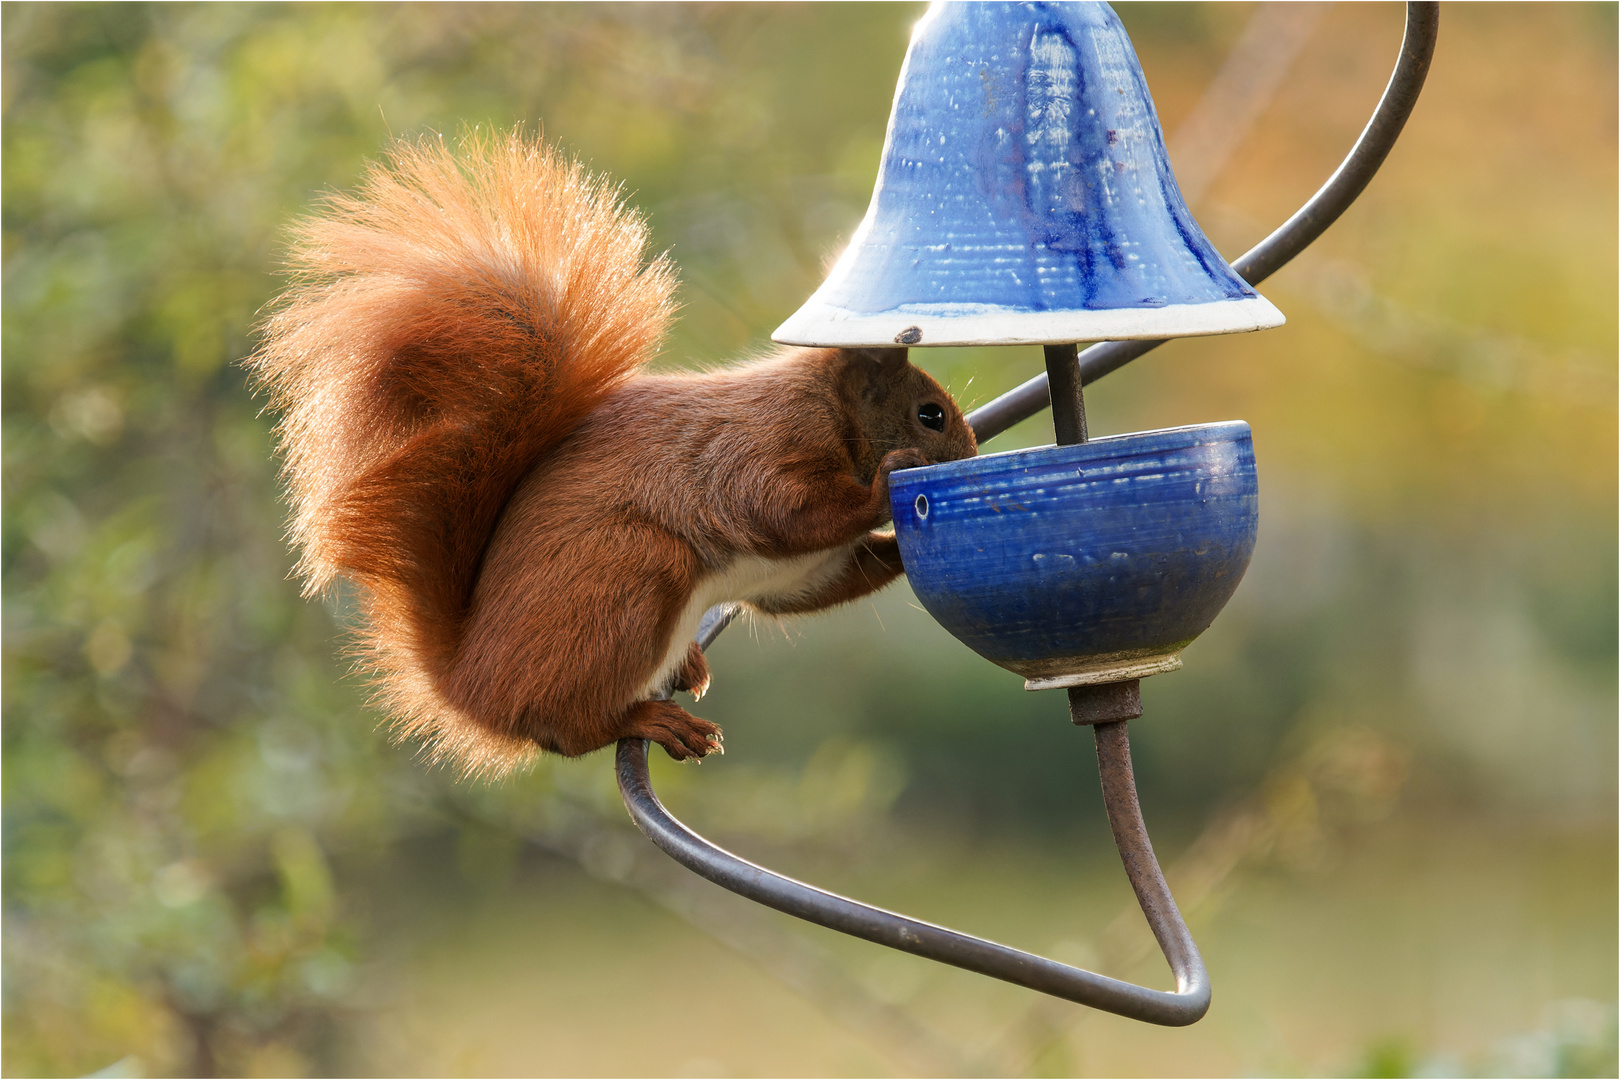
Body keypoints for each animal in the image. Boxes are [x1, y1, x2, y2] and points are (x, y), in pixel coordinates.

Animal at [246, 131, 965, 777]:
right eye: (930, 414)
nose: (963, 450)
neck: (834, 413)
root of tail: (469, 689)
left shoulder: (805, 571)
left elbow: (826, 577)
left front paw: (910, 544)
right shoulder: (763, 446)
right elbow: (784, 511)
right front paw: (892, 478)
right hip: (634, 575)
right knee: (567, 730)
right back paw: (650, 720)